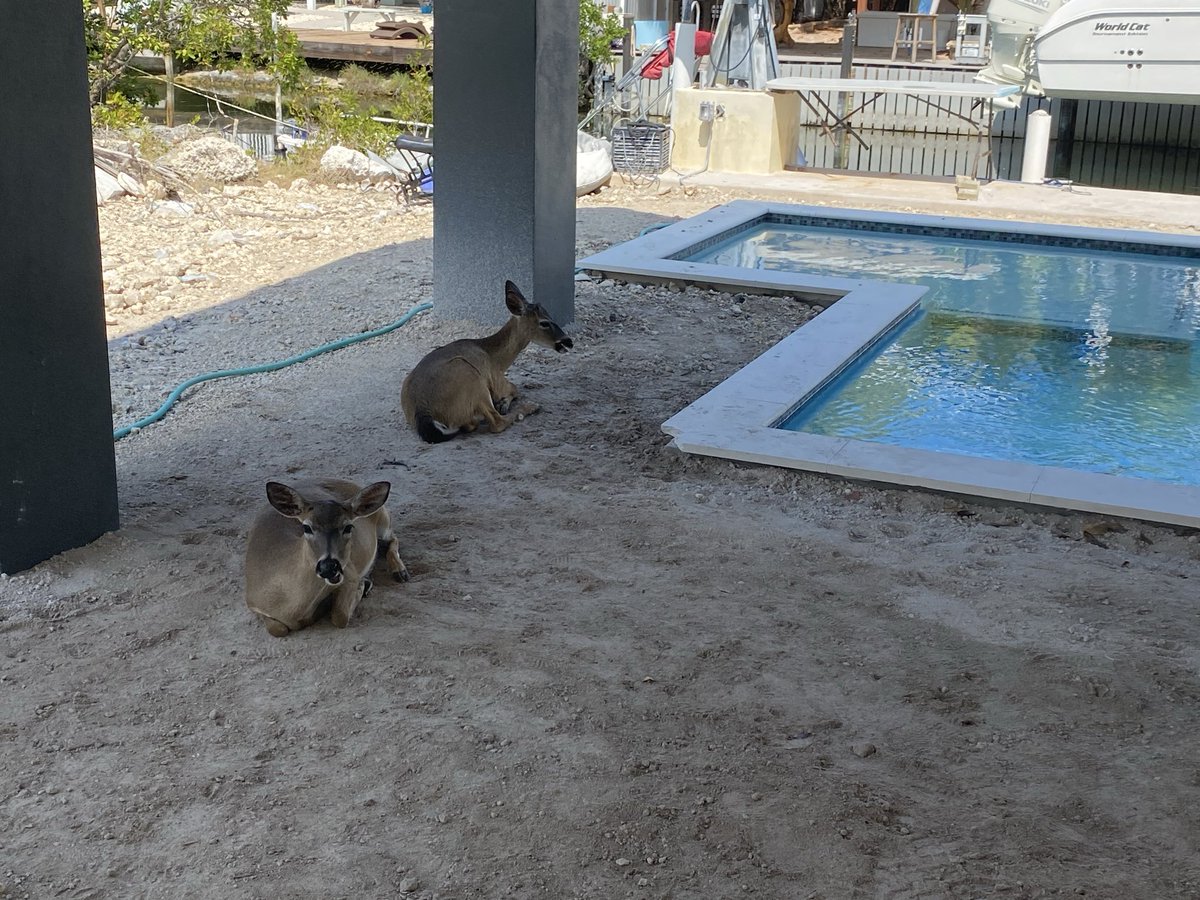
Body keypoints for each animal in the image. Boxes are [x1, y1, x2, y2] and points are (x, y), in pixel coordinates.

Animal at [244, 478, 409, 637]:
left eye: (349, 527)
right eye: (306, 527)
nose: (328, 567)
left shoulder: (350, 573)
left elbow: (339, 616)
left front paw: (363, 586)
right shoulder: (253, 603)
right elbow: (278, 630)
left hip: (383, 520)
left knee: (393, 538)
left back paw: (400, 572)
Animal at [401, 279, 573, 443]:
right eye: (544, 322)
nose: (568, 341)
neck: (495, 358)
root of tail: (423, 411)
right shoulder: (496, 380)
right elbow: (514, 388)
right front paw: (503, 403)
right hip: (471, 378)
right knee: (497, 422)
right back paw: (530, 407)